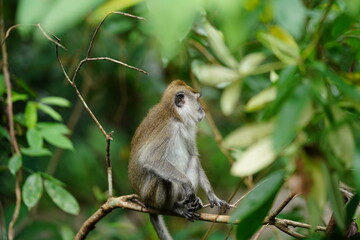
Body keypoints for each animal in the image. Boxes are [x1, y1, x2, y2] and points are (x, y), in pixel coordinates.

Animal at [127, 80, 228, 240]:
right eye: (197, 99)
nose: (202, 108)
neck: (176, 116)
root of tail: (144, 201)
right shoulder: (168, 128)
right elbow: (150, 159)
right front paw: (187, 183)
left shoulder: (189, 127)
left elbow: (193, 155)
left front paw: (212, 195)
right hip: (150, 196)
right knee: (161, 177)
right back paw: (173, 207)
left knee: (191, 161)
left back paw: (191, 204)